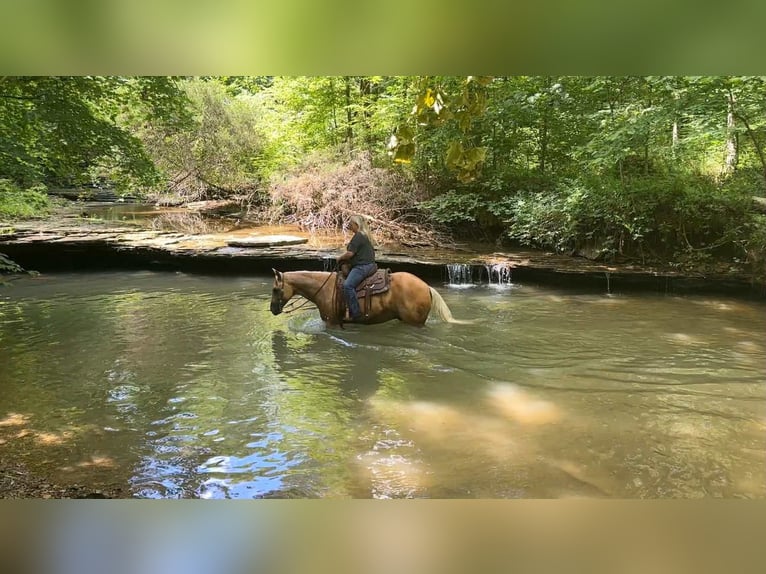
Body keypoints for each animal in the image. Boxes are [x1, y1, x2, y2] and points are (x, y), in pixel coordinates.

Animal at [269, 268, 467, 327]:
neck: (324, 288)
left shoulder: (332, 323)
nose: (272, 310)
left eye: (275, 289)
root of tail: (426, 286)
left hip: (414, 322)